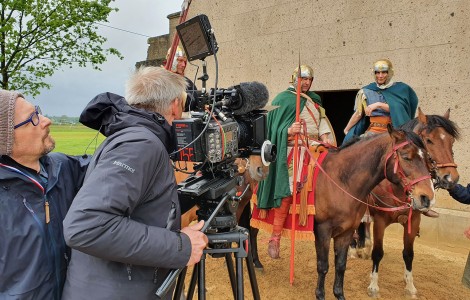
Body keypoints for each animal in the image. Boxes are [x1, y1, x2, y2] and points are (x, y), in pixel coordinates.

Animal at [314, 125, 436, 300]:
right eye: (406, 157)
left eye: (427, 159)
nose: (427, 198)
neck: (340, 181)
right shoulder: (323, 229)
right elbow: (323, 266)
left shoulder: (346, 231)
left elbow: (341, 265)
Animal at [354, 108, 460, 298]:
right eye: (428, 140)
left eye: (451, 140)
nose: (451, 178)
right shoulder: (380, 221)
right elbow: (378, 253)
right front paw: (373, 286)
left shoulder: (413, 220)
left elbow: (408, 254)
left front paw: (410, 286)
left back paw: (363, 248)